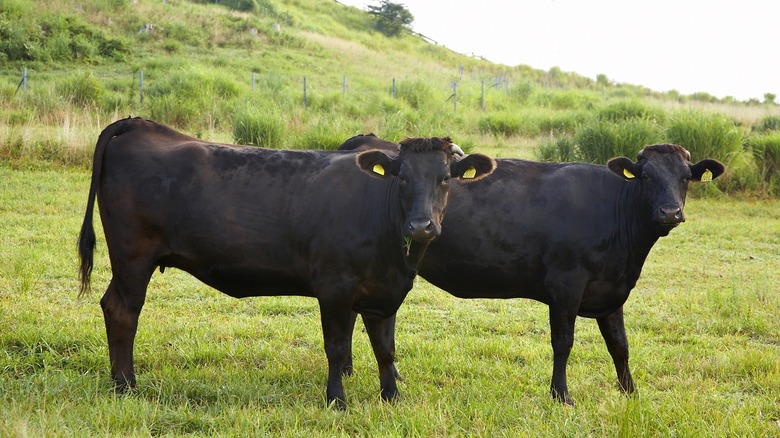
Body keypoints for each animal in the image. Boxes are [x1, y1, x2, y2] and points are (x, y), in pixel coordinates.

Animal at [77, 118, 494, 408]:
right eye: (402, 177)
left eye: (446, 178)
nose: (421, 225)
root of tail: (141, 123)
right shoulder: (335, 288)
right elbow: (337, 347)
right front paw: (336, 400)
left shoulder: (384, 292)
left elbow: (385, 348)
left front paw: (391, 397)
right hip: (133, 256)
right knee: (123, 310)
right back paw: (126, 385)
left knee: (113, 305)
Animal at [338, 136, 728, 404]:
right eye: (646, 177)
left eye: (685, 178)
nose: (669, 212)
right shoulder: (566, 285)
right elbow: (563, 342)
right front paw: (561, 395)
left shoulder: (612, 290)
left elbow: (620, 345)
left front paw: (630, 393)